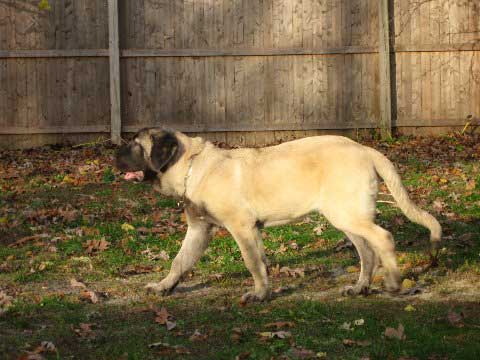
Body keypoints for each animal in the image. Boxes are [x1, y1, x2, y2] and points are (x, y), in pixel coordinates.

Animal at [114, 128, 440, 302]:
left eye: (136, 145)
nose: (113, 154)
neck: (192, 166)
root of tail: (366, 150)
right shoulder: (200, 230)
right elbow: (180, 261)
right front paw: (163, 286)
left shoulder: (241, 227)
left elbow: (251, 262)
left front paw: (258, 294)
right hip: (346, 216)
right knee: (367, 252)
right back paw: (360, 287)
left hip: (347, 214)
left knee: (383, 239)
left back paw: (394, 283)